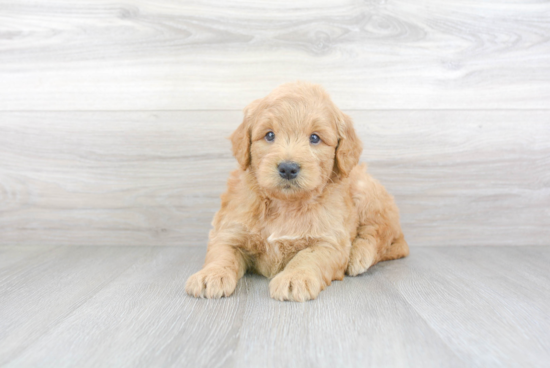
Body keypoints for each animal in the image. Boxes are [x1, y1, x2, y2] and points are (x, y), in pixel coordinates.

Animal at [188, 81, 408, 302]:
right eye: (269, 135)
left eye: (315, 138)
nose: (288, 168)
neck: (285, 205)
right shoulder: (230, 228)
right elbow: (222, 253)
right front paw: (210, 275)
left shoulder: (330, 240)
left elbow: (308, 257)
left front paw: (294, 278)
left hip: (367, 193)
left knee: (382, 234)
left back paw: (358, 255)